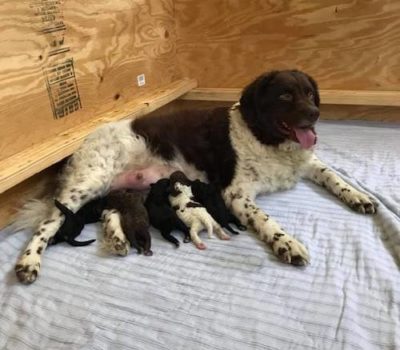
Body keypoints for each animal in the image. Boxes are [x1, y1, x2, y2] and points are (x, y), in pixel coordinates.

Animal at [14, 69, 378, 284]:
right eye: (286, 95)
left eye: (310, 93)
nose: (315, 114)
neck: (264, 136)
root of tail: (82, 143)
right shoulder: (236, 194)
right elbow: (267, 221)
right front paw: (286, 242)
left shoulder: (308, 162)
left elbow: (334, 177)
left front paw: (359, 196)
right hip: (87, 184)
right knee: (47, 224)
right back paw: (29, 262)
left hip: (119, 190)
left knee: (108, 212)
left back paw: (117, 239)